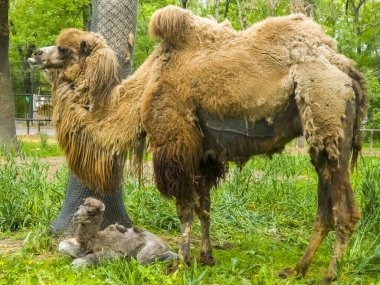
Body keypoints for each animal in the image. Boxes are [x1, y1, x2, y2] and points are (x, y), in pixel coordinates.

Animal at [28, 5, 366, 282]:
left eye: (64, 49)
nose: (34, 54)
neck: (141, 91)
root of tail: (346, 70)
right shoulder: (204, 153)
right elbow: (204, 207)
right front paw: (206, 258)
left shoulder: (174, 144)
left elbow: (185, 209)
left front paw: (180, 262)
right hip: (321, 138)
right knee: (324, 206)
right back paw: (297, 269)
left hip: (326, 109)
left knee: (345, 209)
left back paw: (329, 274)